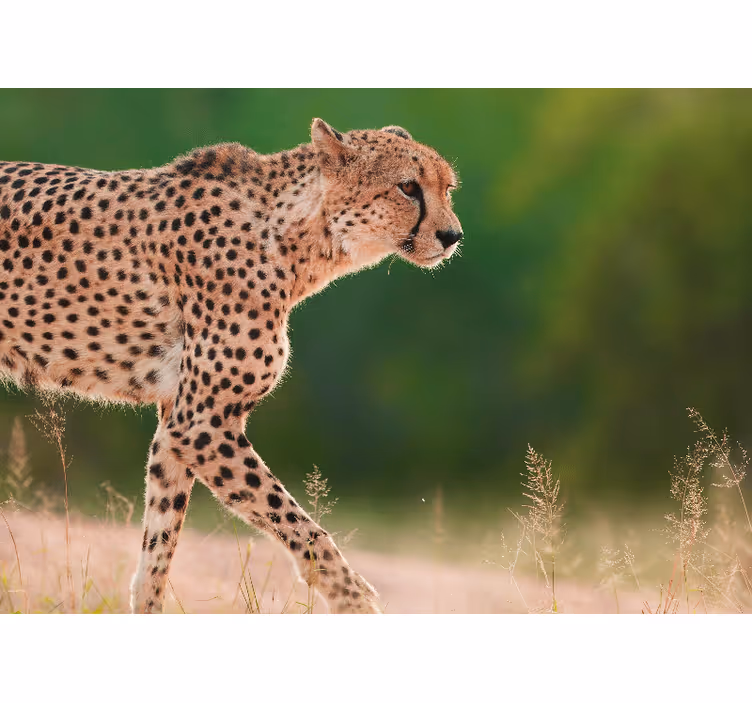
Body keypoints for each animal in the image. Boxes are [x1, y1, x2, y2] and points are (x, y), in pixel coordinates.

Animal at [0, 118, 463, 613]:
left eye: (447, 188)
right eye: (408, 187)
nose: (452, 236)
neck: (295, 236)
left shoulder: (176, 424)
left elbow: (158, 547)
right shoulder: (201, 424)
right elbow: (304, 528)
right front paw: (354, 601)